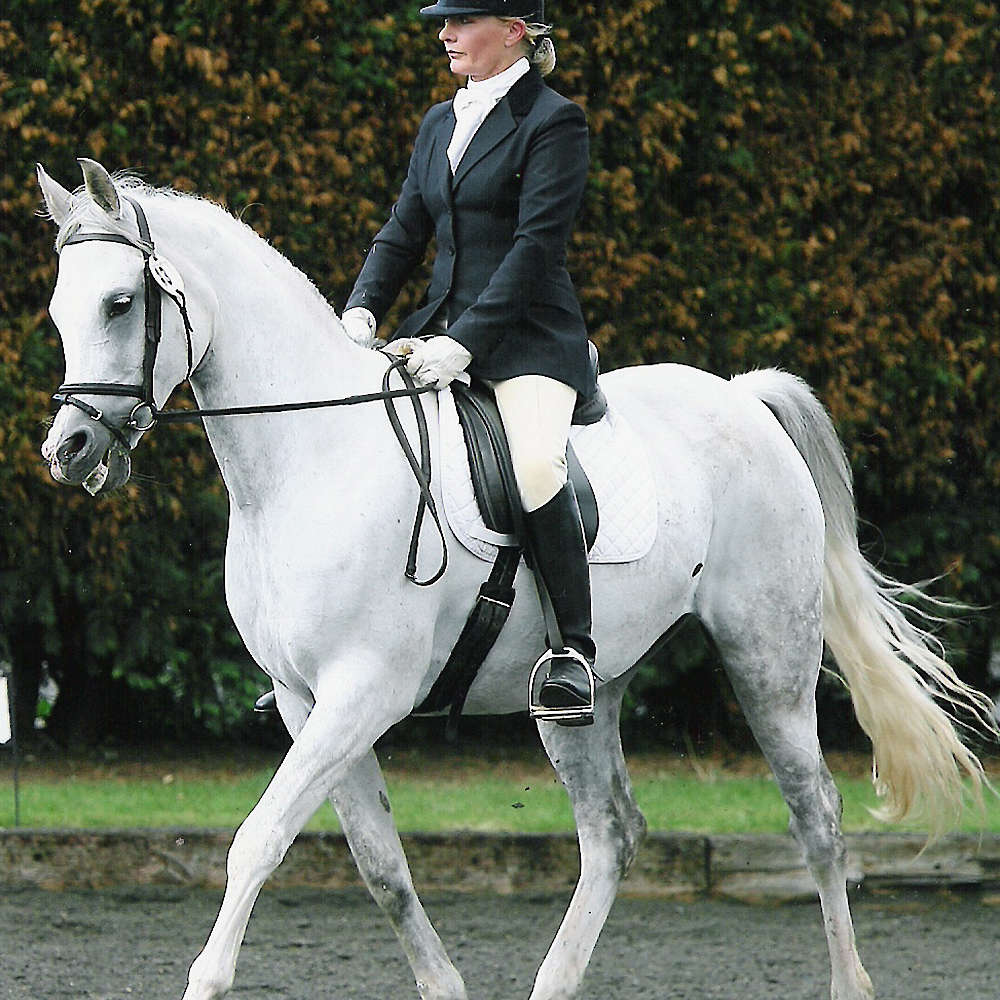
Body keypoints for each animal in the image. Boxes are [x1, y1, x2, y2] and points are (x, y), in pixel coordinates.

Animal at [35, 158, 995, 1000]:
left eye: (120, 303)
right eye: (57, 310)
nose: (68, 450)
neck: (310, 458)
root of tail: (739, 395)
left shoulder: (362, 693)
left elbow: (258, 841)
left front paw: (206, 980)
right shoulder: (308, 703)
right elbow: (381, 866)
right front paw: (443, 984)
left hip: (770, 660)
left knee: (816, 817)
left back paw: (847, 980)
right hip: (583, 690)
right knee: (612, 832)